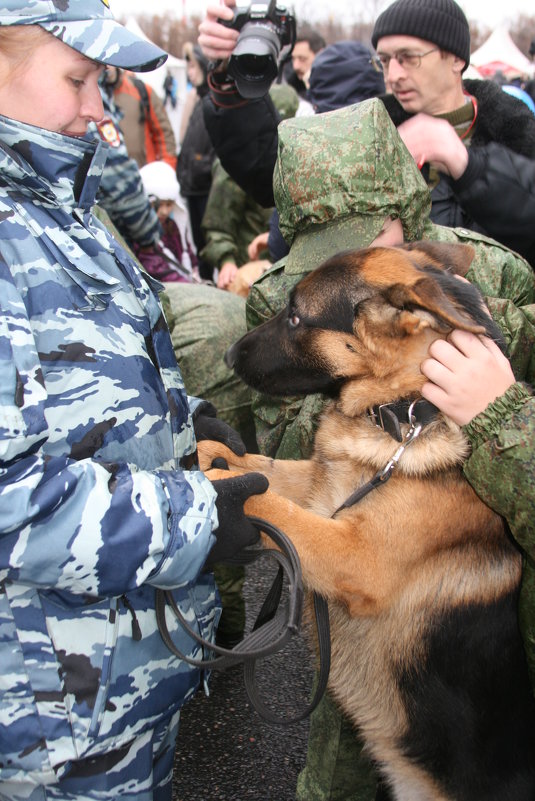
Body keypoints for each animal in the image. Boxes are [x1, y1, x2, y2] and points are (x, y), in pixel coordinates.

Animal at [199, 244, 535, 800]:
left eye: (296, 316)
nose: (225, 357)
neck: (406, 416)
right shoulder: (320, 489)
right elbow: (265, 471)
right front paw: (208, 447)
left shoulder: (356, 557)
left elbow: (273, 505)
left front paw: (213, 487)